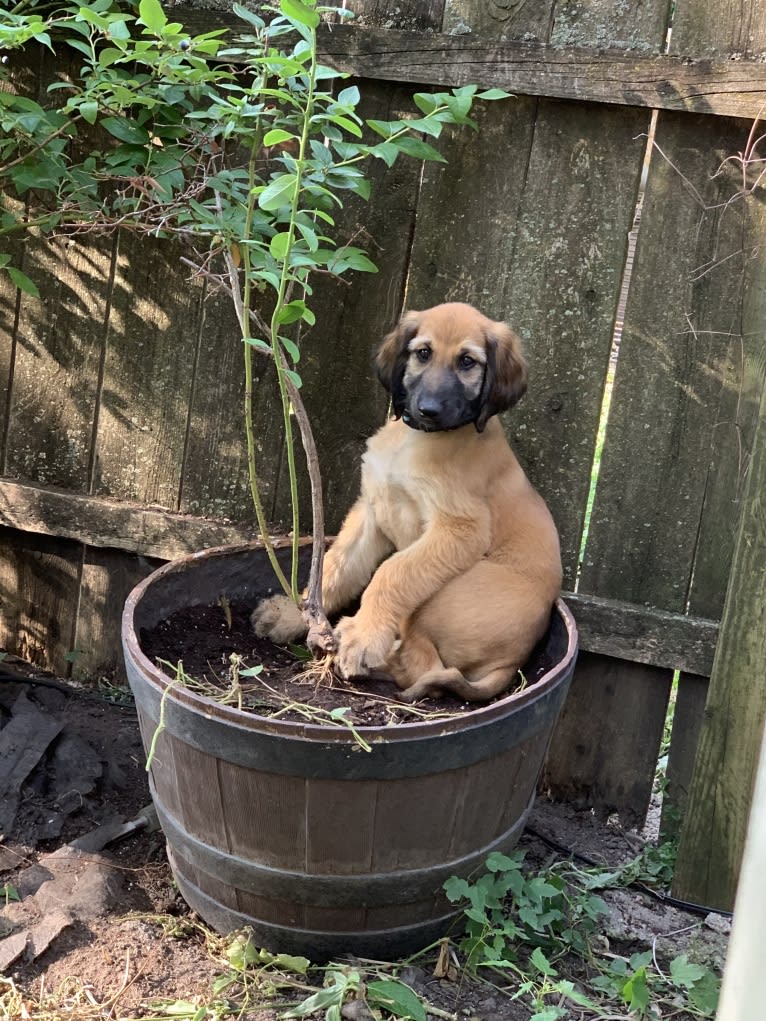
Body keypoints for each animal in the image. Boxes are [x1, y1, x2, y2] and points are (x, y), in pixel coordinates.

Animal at [252, 300, 563, 702]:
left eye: (467, 361)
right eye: (423, 353)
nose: (428, 409)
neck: (419, 440)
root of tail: (511, 662)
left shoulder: (459, 527)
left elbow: (392, 571)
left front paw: (362, 636)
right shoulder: (372, 511)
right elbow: (335, 567)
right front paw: (295, 613)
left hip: (450, 595)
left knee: (424, 666)